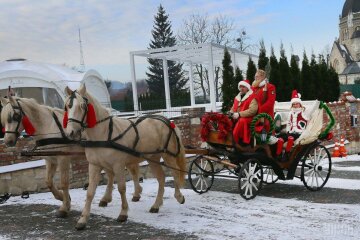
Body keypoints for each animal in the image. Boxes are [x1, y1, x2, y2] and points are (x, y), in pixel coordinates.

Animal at [0, 95, 143, 218]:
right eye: (3, 119)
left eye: (15, 116)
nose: (7, 141)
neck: (48, 126)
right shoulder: (50, 159)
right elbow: (48, 182)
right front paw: (61, 197)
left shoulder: (63, 158)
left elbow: (64, 183)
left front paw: (64, 207)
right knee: (111, 174)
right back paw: (106, 199)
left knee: (131, 171)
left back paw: (136, 193)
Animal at [64, 83, 187, 230]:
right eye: (67, 106)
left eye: (82, 106)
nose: (70, 132)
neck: (104, 133)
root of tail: (167, 121)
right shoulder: (94, 165)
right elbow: (90, 192)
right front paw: (82, 220)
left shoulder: (118, 165)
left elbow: (121, 188)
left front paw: (123, 213)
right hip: (153, 158)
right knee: (161, 178)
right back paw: (156, 205)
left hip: (168, 155)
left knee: (175, 173)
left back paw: (179, 196)